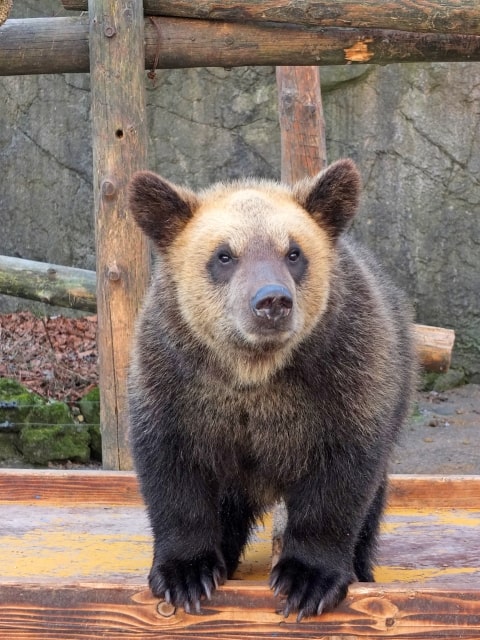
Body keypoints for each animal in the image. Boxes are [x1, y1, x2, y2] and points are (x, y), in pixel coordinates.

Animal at [127, 159, 416, 620]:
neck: (255, 372)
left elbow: (342, 477)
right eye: (224, 255)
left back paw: (361, 568)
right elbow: (173, 471)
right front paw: (186, 575)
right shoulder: (175, 381)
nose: (272, 301)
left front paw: (308, 580)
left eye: (293, 253)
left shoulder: (346, 374)